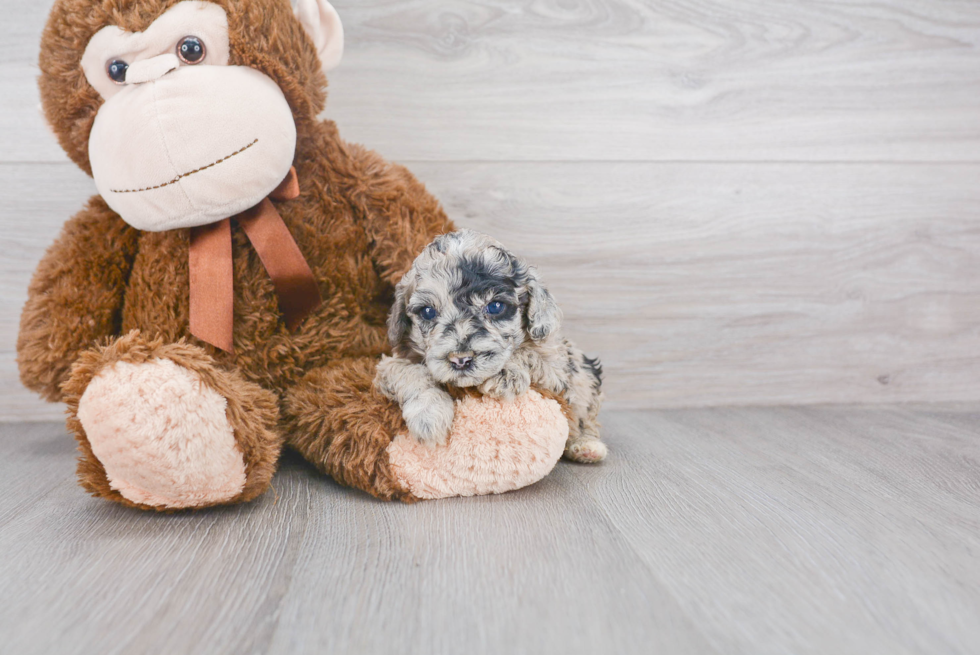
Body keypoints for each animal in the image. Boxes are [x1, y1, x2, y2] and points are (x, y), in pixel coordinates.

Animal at [374, 228, 604, 464]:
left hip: (585, 374)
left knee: (587, 416)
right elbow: (410, 371)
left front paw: (506, 372)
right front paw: (429, 415)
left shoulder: (557, 369)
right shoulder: (388, 366)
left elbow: (528, 353)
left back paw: (586, 445)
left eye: (495, 307)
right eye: (428, 312)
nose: (461, 359)